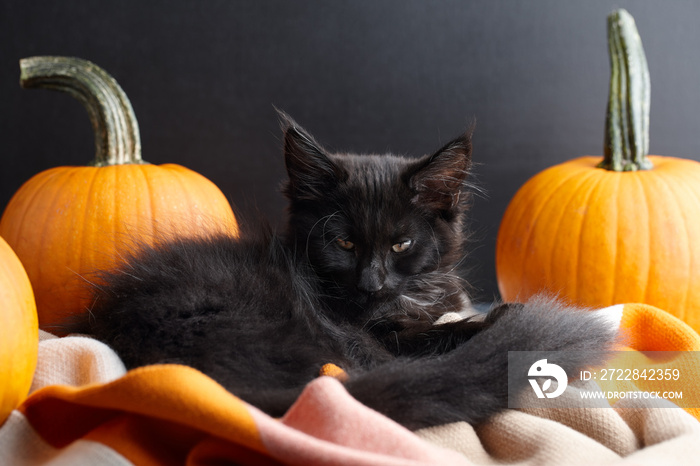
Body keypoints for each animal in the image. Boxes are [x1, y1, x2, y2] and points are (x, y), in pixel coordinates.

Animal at [78, 114, 616, 432]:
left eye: (401, 243)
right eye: (344, 243)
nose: (370, 283)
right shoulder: (377, 335)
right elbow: (438, 333)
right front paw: (498, 316)